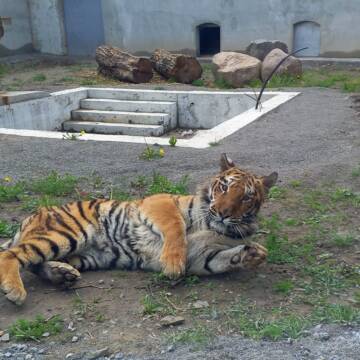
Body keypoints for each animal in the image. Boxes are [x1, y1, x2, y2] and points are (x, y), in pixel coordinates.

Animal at [0, 153, 278, 306]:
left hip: (82, 256)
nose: (222, 212)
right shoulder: (159, 202)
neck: (213, 224)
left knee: (35, 264)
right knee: (10, 255)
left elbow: (221, 258)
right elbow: (176, 227)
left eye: (246, 197)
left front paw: (254, 253)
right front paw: (172, 264)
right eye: (224, 187)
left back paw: (62, 274)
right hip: (66, 233)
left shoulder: (200, 256)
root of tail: (30, 216)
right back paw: (15, 291)